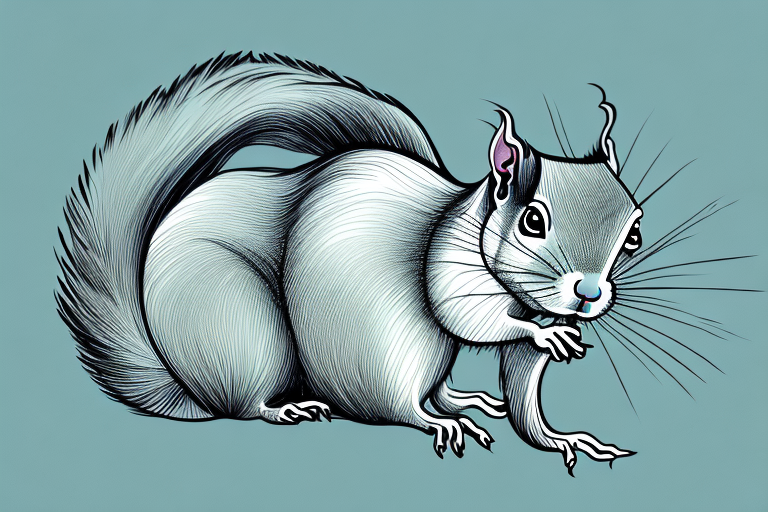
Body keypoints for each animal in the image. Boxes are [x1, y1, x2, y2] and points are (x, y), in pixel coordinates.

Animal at [57, 52, 640, 472]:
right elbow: (466, 316)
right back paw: (320, 411)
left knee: (434, 393)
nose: (589, 294)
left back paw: (466, 403)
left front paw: (565, 437)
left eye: (634, 233)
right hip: (262, 338)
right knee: (380, 408)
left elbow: (525, 392)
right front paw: (545, 335)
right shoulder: (448, 265)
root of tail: (187, 388)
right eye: (532, 221)